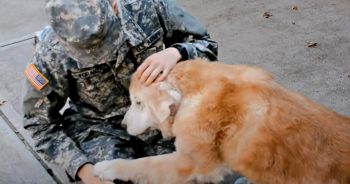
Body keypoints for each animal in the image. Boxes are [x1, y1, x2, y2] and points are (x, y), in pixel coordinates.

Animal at [93, 58, 350, 183]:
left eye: (137, 102)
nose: (122, 125)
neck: (192, 91)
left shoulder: (192, 163)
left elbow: (145, 163)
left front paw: (108, 167)